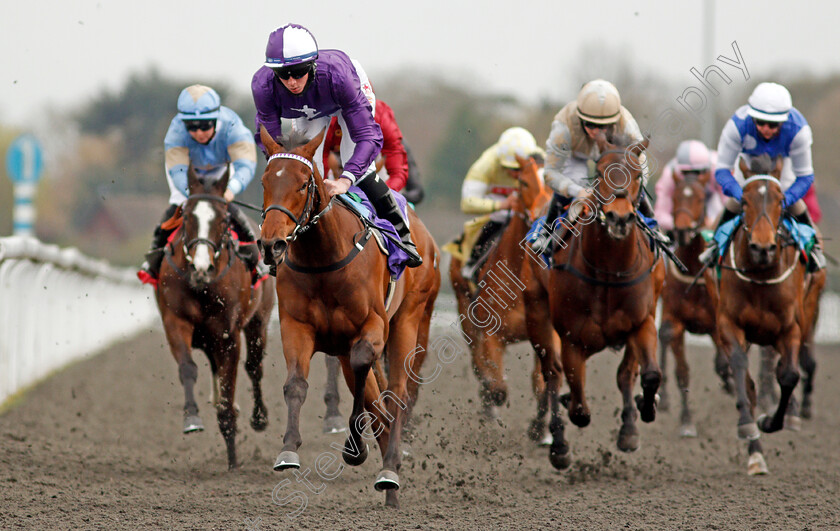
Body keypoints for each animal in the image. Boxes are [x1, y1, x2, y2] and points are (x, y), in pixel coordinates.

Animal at [154, 166, 276, 470]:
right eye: (187, 216)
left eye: (223, 219)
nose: (202, 267)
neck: (203, 286)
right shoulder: (175, 322)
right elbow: (188, 368)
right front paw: (191, 418)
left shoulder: (228, 334)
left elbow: (230, 382)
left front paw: (232, 456)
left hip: (259, 321)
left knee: (254, 367)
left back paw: (259, 417)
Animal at [258, 127, 440, 510]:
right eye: (266, 181)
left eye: (303, 184)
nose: (272, 244)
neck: (323, 259)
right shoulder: (296, 326)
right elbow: (296, 383)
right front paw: (288, 450)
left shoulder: (372, 327)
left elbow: (364, 373)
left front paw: (355, 449)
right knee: (377, 400)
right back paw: (389, 484)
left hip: (409, 319)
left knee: (396, 394)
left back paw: (389, 470)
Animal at [446, 156, 556, 442]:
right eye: (524, 182)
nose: (543, 213)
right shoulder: (491, 334)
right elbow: (496, 386)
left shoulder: (547, 333)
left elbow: (542, 382)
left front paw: (539, 429)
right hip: (466, 313)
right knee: (478, 364)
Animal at [520, 134, 668, 470]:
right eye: (600, 173)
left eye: (637, 175)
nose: (619, 217)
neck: (609, 271)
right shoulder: (572, 337)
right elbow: (578, 406)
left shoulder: (642, 322)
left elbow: (648, 374)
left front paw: (644, 409)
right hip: (537, 315)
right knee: (552, 374)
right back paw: (559, 445)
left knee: (625, 373)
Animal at [704, 156, 828, 476]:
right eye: (744, 201)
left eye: (780, 200)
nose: (763, 248)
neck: (760, 276)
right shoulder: (729, 325)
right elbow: (741, 375)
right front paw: (751, 428)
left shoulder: (790, 328)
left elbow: (789, 375)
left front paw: (771, 420)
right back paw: (755, 451)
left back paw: (793, 413)